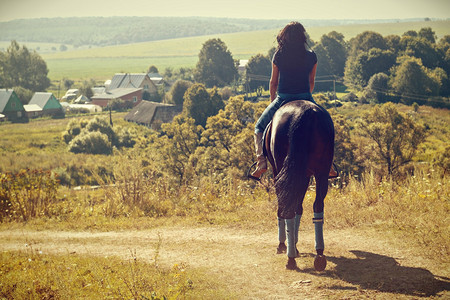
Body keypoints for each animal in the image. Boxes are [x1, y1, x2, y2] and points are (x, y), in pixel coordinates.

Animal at [264, 99, 334, 270]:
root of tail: (306, 113)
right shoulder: (304, 176)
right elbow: (299, 208)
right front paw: (294, 244)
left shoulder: (278, 173)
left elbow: (285, 207)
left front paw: (285, 245)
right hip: (321, 172)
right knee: (318, 205)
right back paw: (319, 254)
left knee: (287, 207)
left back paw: (290, 258)